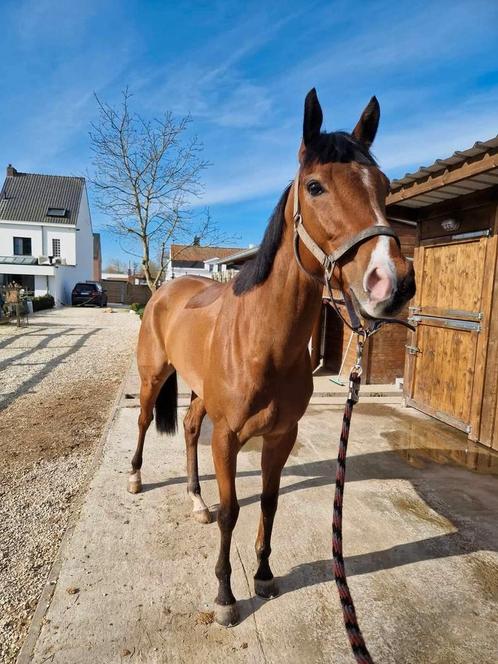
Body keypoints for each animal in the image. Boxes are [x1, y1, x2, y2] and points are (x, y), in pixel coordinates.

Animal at [128, 89, 416, 628]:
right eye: (315, 186)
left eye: (386, 187)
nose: (393, 283)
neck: (262, 340)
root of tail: (166, 290)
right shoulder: (229, 437)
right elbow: (233, 511)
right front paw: (225, 595)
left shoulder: (282, 437)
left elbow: (268, 503)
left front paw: (262, 575)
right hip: (155, 376)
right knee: (142, 420)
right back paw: (135, 478)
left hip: (199, 395)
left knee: (191, 428)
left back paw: (195, 501)